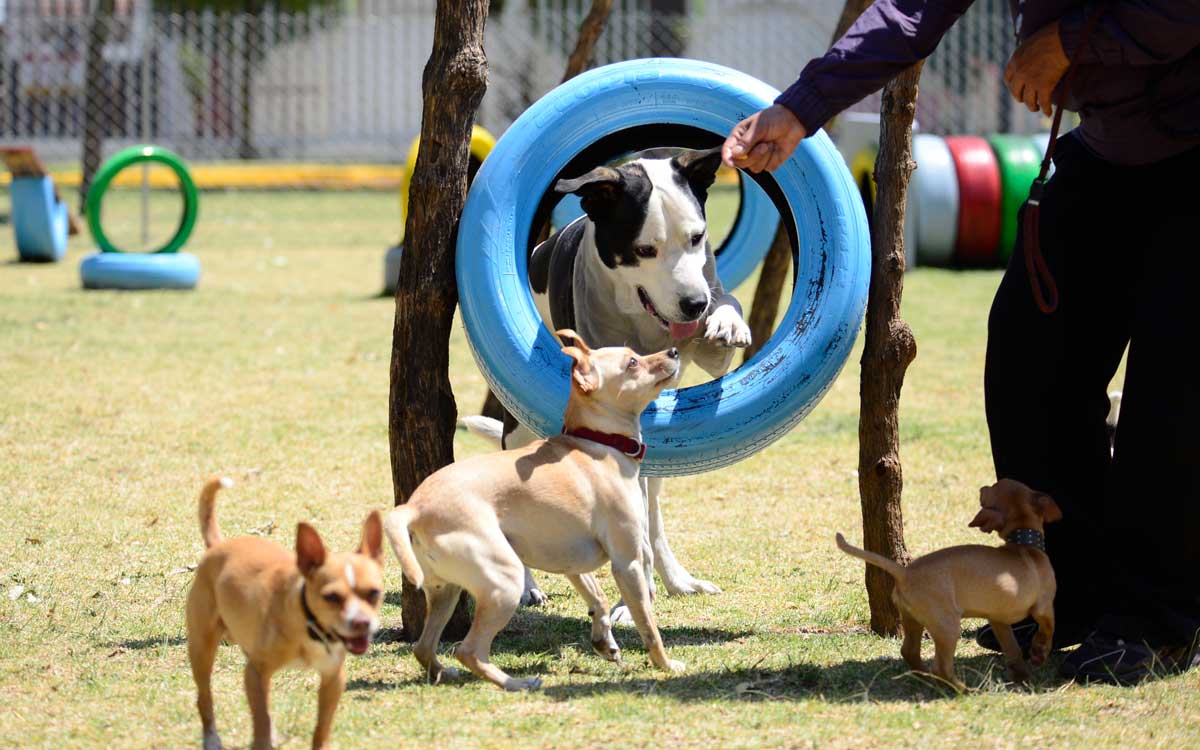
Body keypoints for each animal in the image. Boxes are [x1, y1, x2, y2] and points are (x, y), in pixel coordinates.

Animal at [186, 477, 384, 748]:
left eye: (374, 593)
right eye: (332, 597)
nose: (362, 623)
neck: (309, 626)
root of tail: (219, 545)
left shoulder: (333, 679)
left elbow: (321, 729)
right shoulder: (255, 673)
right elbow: (261, 721)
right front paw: (262, 739)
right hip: (202, 648)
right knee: (204, 697)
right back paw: (212, 738)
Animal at [384, 326, 686, 691]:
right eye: (632, 363)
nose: (673, 351)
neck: (597, 442)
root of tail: (414, 507)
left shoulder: (572, 563)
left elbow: (597, 598)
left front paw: (604, 642)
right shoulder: (627, 563)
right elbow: (648, 625)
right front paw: (665, 664)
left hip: (446, 590)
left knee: (423, 647)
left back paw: (445, 673)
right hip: (505, 581)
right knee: (469, 650)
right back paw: (517, 683)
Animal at [468, 144, 748, 614]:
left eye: (696, 238)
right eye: (645, 249)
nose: (693, 304)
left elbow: (724, 306)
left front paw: (728, 322)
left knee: (653, 508)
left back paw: (676, 579)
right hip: (519, 426)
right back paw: (526, 585)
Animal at [835, 477, 1060, 686]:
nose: (982, 487)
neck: (1023, 543)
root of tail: (905, 572)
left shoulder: (998, 620)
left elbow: (1012, 650)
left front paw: (1022, 676)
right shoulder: (1043, 607)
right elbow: (1048, 628)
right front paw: (1039, 651)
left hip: (912, 619)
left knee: (909, 651)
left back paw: (926, 678)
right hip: (948, 626)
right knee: (941, 667)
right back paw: (965, 690)